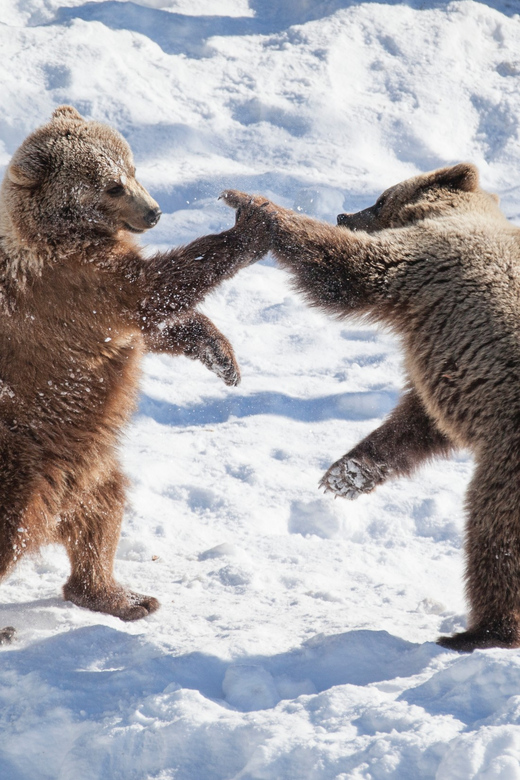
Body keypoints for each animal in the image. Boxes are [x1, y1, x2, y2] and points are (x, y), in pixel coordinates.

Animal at [0, 105, 268, 624]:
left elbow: (151, 327)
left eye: (133, 167)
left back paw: (122, 596)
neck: (63, 233)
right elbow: (156, 289)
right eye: (110, 186)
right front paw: (250, 223)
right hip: (20, 463)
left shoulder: (95, 298)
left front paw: (223, 356)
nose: (155, 211)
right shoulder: (72, 283)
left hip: (88, 470)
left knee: (103, 517)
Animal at [221, 164, 520, 652]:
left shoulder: (424, 266)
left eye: (380, 198)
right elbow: (415, 424)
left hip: (509, 461)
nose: (345, 213)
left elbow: (347, 271)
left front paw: (249, 201)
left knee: (493, 534)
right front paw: (345, 475)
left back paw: (480, 631)